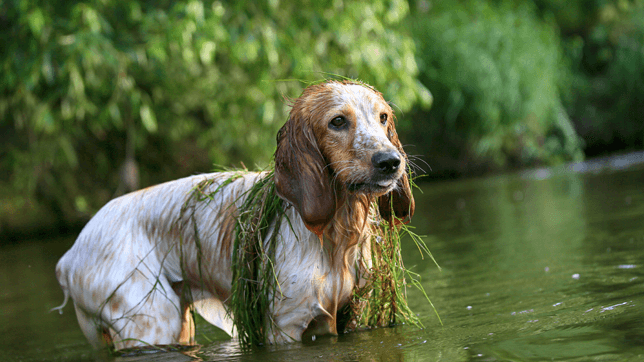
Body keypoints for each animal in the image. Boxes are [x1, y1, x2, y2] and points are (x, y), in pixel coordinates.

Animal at [52, 80, 416, 350]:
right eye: (338, 121)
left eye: (383, 118)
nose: (390, 161)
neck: (333, 235)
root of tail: (70, 255)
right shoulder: (284, 326)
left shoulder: (343, 317)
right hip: (151, 322)